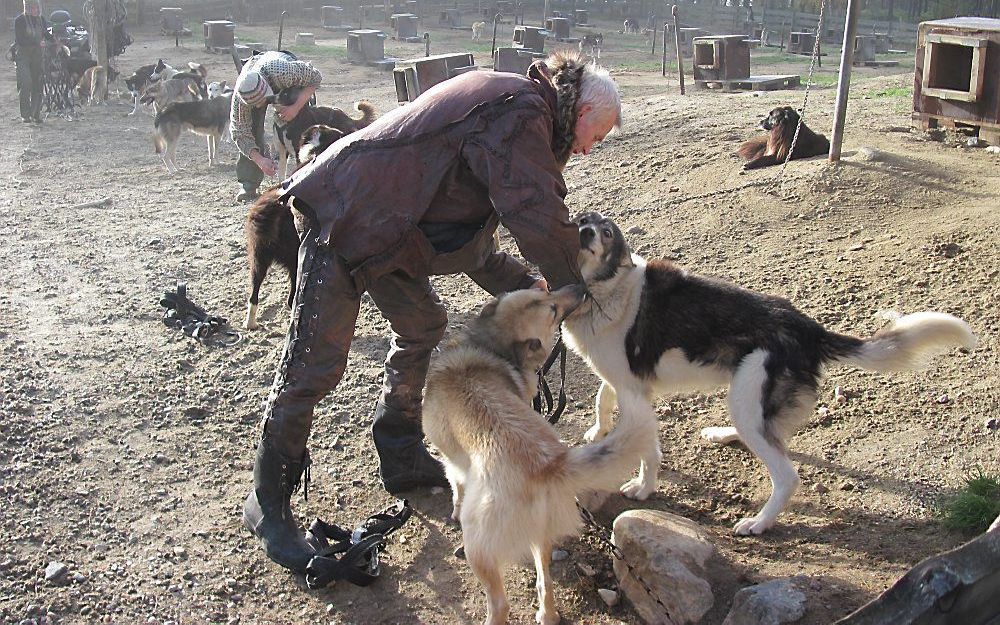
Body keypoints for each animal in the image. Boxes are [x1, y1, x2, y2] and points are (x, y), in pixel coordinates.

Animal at [243, 125, 348, 332]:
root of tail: (274, 207)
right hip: (294, 256)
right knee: (294, 297)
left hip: (259, 256)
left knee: (255, 292)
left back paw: (251, 323)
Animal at [424, 286, 652, 624]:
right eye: (547, 299)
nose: (580, 288)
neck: (494, 344)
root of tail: (547, 464)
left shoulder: (451, 461)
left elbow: (456, 486)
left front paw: (453, 507)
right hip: (541, 530)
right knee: (544, 578)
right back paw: (548, 613)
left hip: (478, 547)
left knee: (500, 604)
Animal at [564, 212, 976, 532]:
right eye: (582, 221)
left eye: (606, 233)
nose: (584, 232)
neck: (607, 290)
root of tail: (808, 329)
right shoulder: (622, 382)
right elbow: (602, 398)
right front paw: (597, 430)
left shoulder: (635, 393)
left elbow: (647, 449)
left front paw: (643, 488)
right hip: (746, 397)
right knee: (766, 432)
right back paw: (724, 434)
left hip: (748, 396)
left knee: (786, 475)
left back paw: (760, 523)